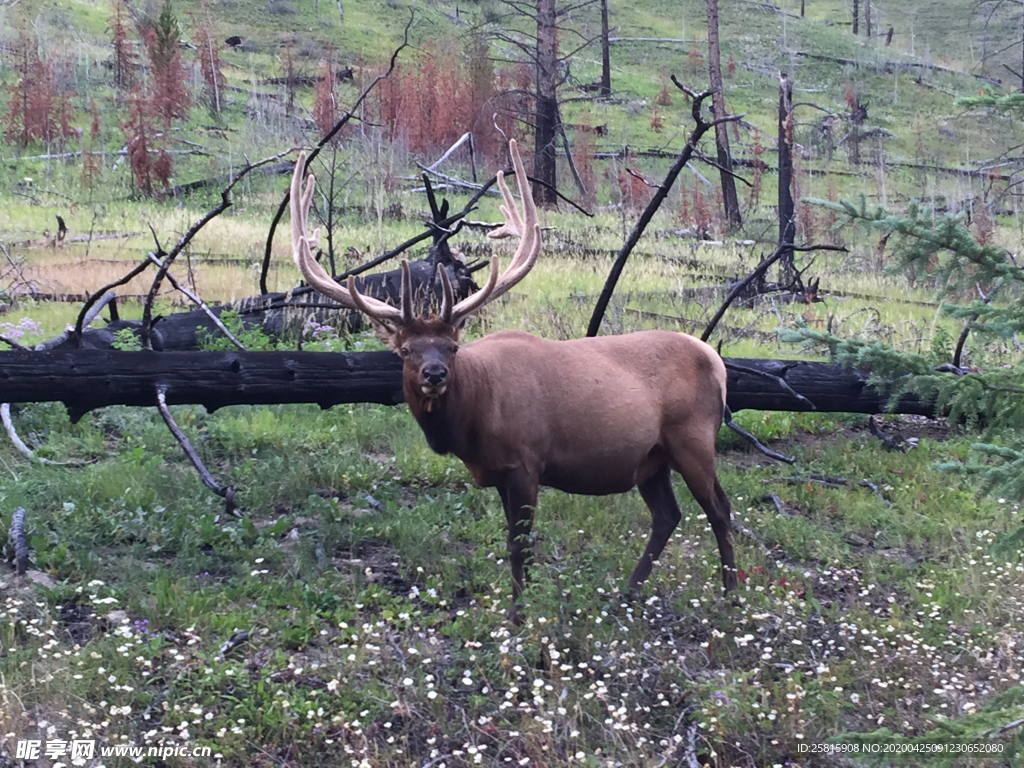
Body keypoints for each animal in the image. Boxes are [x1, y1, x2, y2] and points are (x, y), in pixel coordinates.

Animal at [288, 140, 737, 626]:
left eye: (453, 347)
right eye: (405, 351)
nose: (434, 374)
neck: (472, 422)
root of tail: (718, 363)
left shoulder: (526, 460)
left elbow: (520, 544)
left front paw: (520, 617)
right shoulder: (501, 471)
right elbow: (515, 542)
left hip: (693, 437)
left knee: (719, 508)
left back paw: (731, 595)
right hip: (651, 458)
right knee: (667, 515)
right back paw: (627, 593)